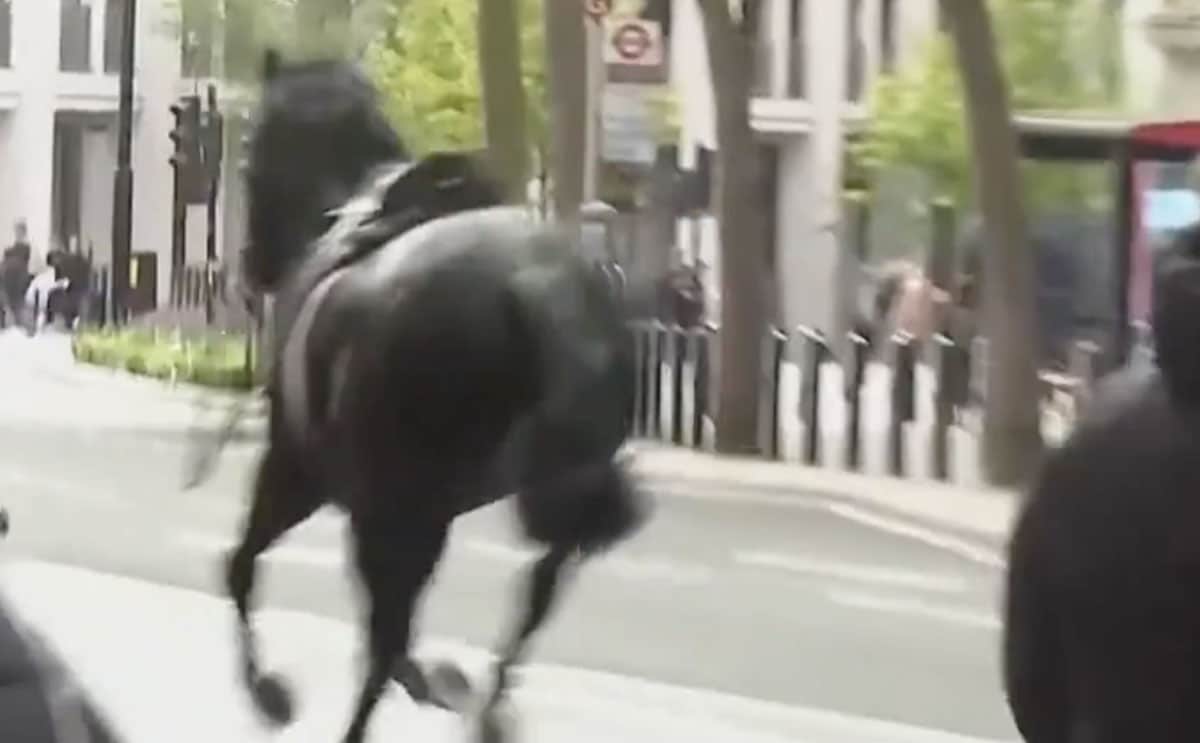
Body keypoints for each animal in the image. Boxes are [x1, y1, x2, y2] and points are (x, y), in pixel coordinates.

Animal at [225, 49, 648, 743]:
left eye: (248, 152)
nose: (251, 265)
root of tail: (534, 282)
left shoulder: (300, 471)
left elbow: (241, 566)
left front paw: (269, 692)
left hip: (394, 500)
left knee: (381, 640)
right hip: (507, 497)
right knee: (535, 592)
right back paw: (490, 707)